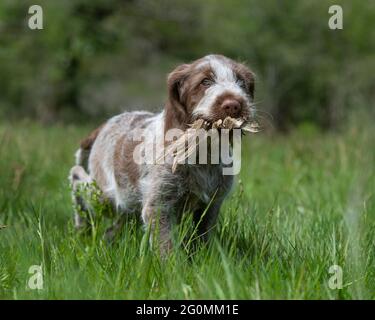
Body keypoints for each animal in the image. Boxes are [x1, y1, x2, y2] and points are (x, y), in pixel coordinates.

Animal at [69, 55, 256, 255]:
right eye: (205, 82)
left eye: (241, 82)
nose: (234, 105)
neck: (204, 152)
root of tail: (105, 124)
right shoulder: (159, 205)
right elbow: (166, 246)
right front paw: (173, 263)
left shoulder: (212, 204)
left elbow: (203, 237)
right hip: (107, 195)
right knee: (76, 177)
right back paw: (82, 227)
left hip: (127, 204)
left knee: (113, 228)